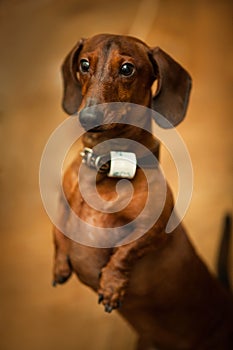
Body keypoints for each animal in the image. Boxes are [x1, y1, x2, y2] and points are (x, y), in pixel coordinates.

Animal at [52, 33, 233, 350]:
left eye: (127, 69)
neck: (106, 165)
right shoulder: (59, 204)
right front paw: (61, 264)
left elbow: (127, 250)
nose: (88, 116)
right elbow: (58, 233)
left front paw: (112, 284)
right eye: (84, 64)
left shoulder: (156, 229)